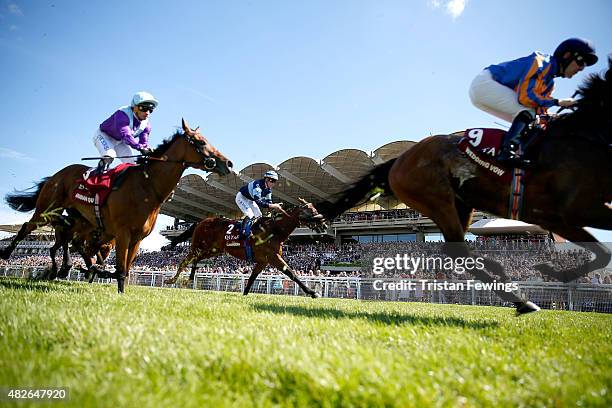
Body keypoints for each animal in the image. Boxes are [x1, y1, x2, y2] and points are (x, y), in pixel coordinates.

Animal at [1, 118, 232, 294]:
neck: (148, 187)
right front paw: (115, 287)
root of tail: (56, 176)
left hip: (80, 220)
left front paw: (104, 276)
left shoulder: (136, 238)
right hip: (47, 210)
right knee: (28, 227)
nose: (227, 163)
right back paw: (7, 254)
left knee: (67, 239)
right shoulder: (122, 233)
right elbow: (120, 268)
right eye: (200, 142)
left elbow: (125, 268)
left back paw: (68, 266)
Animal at [161, 198, 326, 296]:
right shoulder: (273, 257)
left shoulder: (263, 261)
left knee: (196, 260)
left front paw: (244, 294)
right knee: (185, 261)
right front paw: (312, 292)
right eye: (309, 210)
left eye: (315, 208)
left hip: (214, 250)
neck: (275, 230)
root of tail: (201, 221)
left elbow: (253, 277)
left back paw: (189, 278)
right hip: (198, 245)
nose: (323, 223)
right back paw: (171, 280)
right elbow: (292, 273)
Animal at [322, 60, 608, 316]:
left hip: (460, 204)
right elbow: (604, 252)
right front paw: (557, 272)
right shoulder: (560, 213)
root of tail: (399, 160)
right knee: (458, 250)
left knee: (458, 250)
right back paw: (519, 297)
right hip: (437, 199)